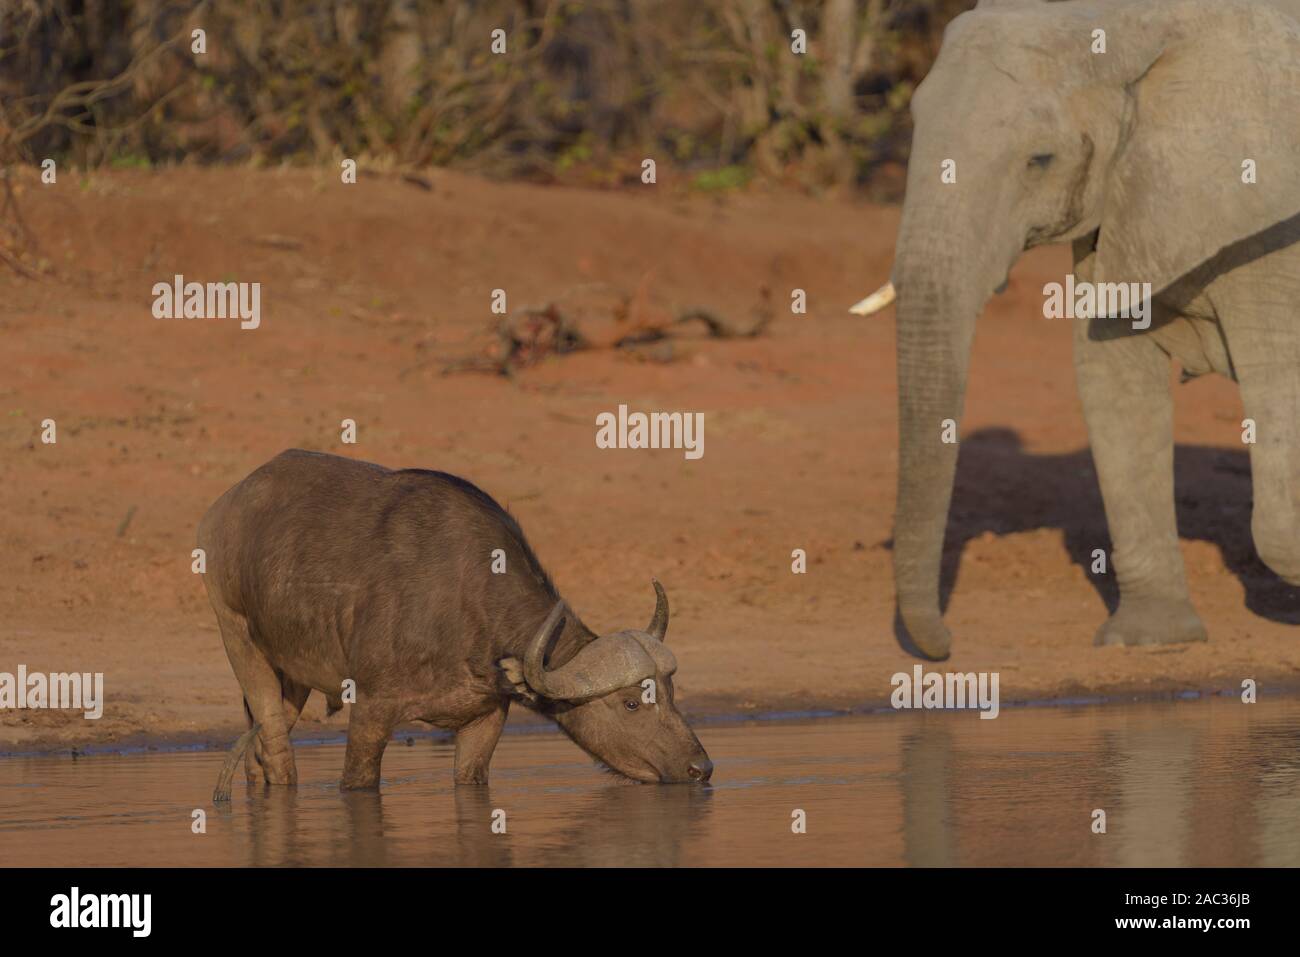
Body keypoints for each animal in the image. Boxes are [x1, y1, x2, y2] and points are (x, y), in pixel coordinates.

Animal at [852, 0, 1300, 657]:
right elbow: (1111, 380)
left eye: (1040, 159)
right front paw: (1149, 642)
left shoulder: (1270, 222)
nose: (948, 644)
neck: (1130, 25)